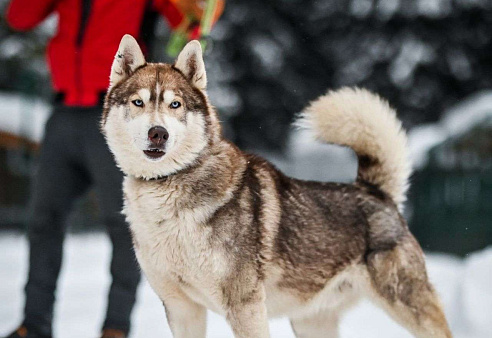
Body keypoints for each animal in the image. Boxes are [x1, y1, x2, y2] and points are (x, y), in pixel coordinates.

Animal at [102, 35, 452, 338]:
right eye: (138, 102)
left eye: (175, 105)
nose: (158, 133)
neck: (168, 188)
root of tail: (375, 192)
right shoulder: (181, 307)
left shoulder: (244, 305)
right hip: (312, 323)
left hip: (408, 306)